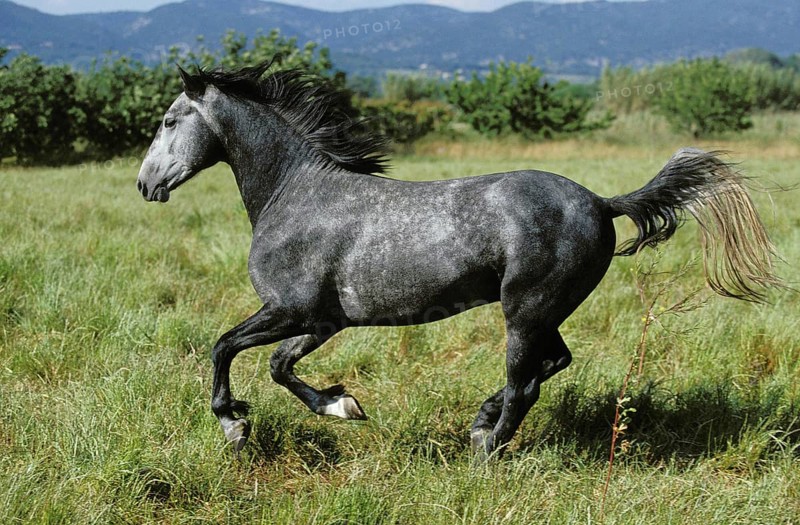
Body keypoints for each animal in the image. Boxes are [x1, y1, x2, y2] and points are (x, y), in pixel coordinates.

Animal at [137, 60, 781, 459]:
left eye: (169, 121)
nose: (146, 185)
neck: (295, 192)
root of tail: (601, 201)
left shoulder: (293, 311)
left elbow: (226, 348)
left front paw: (236, 424)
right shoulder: (322, 321)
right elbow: (276, 365)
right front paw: (343, 405)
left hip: (525, 309)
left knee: (525, 385)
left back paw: (486, 449)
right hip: (542, 311)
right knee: (550, 365)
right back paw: (479, 425)